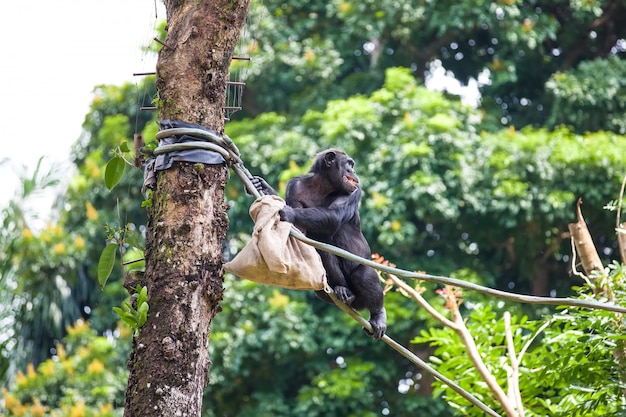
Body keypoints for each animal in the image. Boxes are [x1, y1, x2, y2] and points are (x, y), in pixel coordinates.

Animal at [254, 150, 386, 338]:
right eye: (349, 164)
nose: (354, 171)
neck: (324, 186)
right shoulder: (294, 186)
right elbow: (300, 233)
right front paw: (264, 188)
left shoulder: (353, 192)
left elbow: (334, 216)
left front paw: (289, 212)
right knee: (322, 255)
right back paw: (343, 290)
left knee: (363, 273)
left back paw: (378, 316)